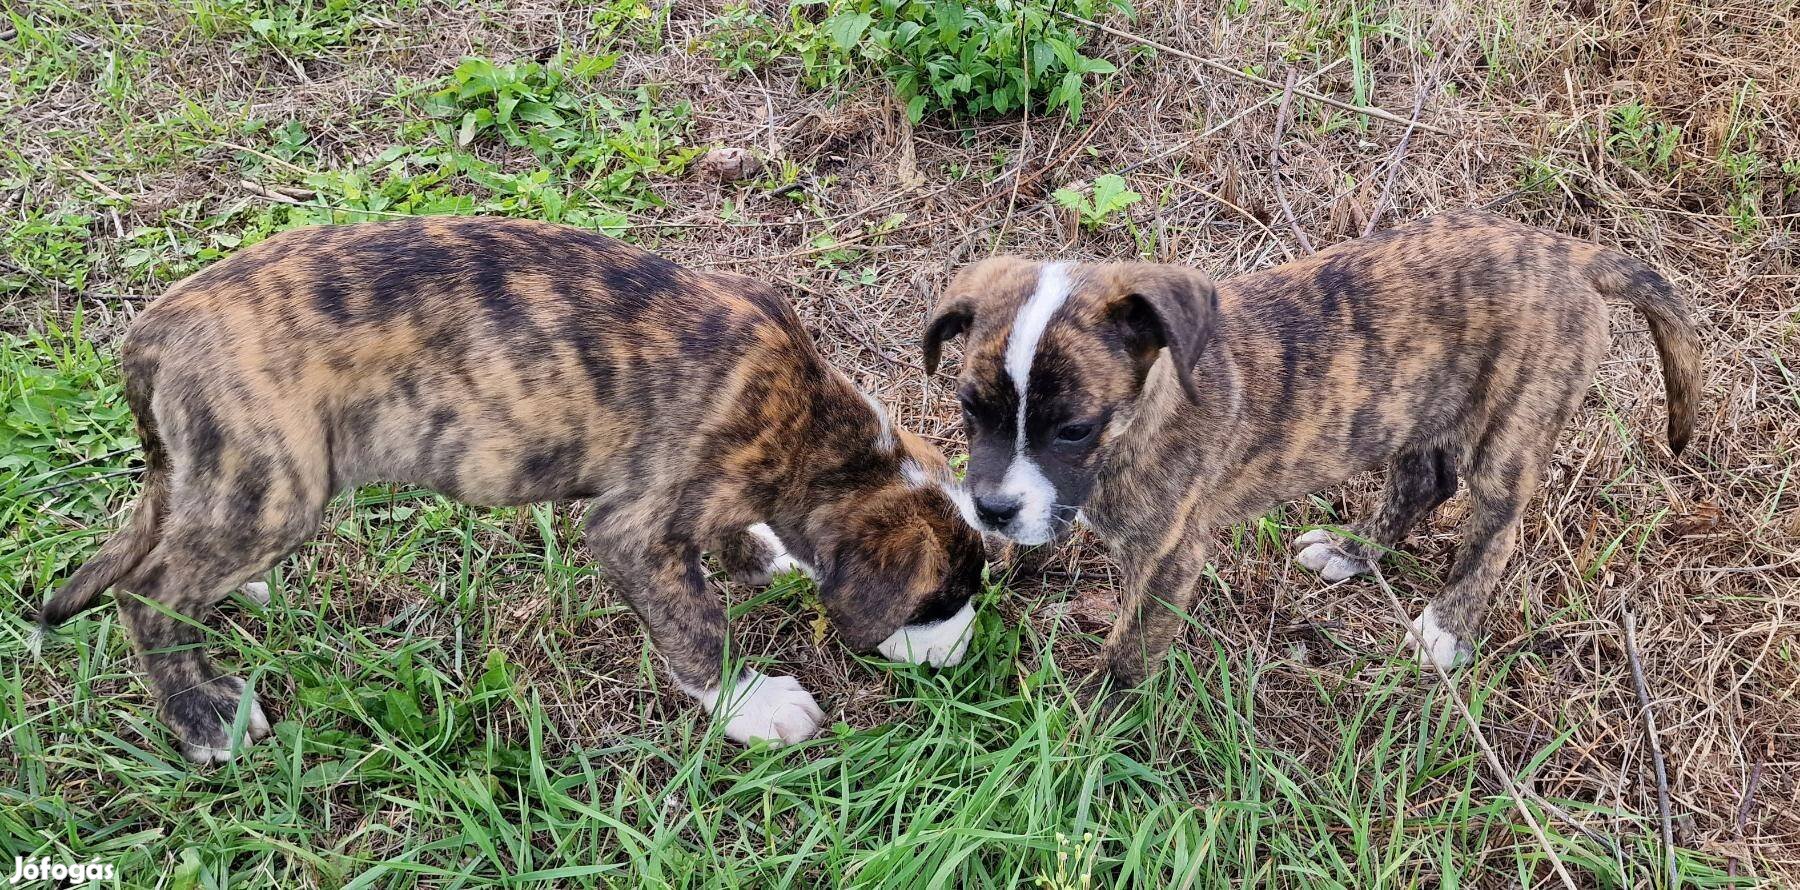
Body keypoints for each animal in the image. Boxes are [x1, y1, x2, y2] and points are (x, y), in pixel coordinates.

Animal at [928, 209, 1699, 695]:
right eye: (968, 409)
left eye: (1075, 429)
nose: (992, 509)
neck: (1148, 413)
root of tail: (1567, 253)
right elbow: (1033, 536)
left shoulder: (1169, 556)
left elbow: (1130, 649)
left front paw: (1087, 728)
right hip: (1409, 406)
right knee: (1424, 482)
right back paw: (1354, 550)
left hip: (1511, 429)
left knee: (1497, 526)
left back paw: (1447, 627)